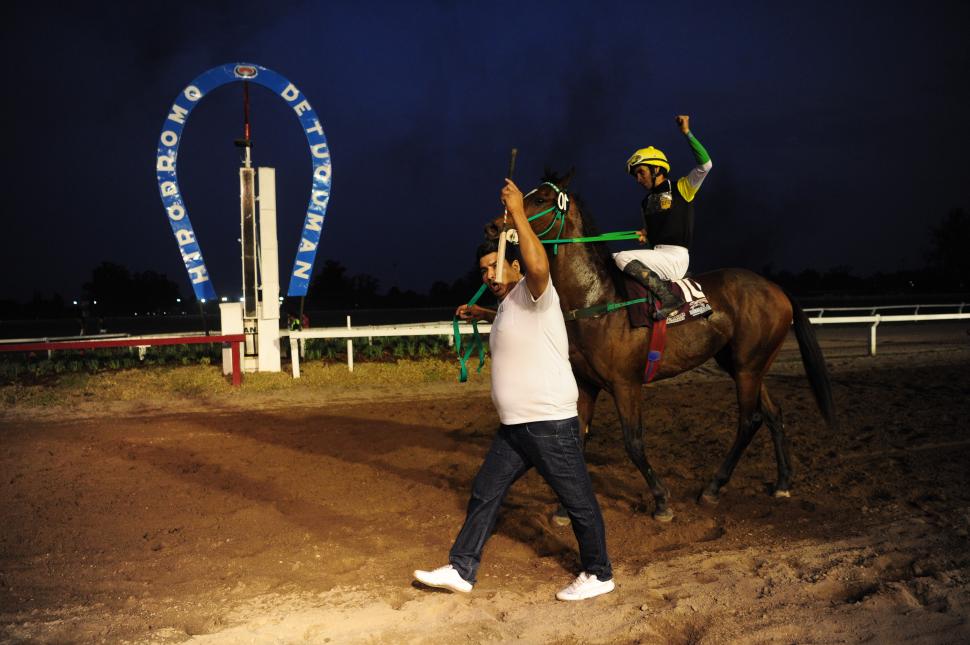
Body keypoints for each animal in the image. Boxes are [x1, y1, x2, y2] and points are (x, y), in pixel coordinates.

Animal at [488, 174, 836, 520]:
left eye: (541, 198)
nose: (494, 226)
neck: (596, 298)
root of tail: (776, 288)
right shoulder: (586, 383)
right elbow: (578, 439)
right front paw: (564, 508)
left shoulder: (625, 384)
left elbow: (633, 442)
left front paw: (661, 499)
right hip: (744, 365)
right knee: (773, 413)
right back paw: (783, 482)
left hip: (748, 367)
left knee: (749, 421)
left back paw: (713, 487)